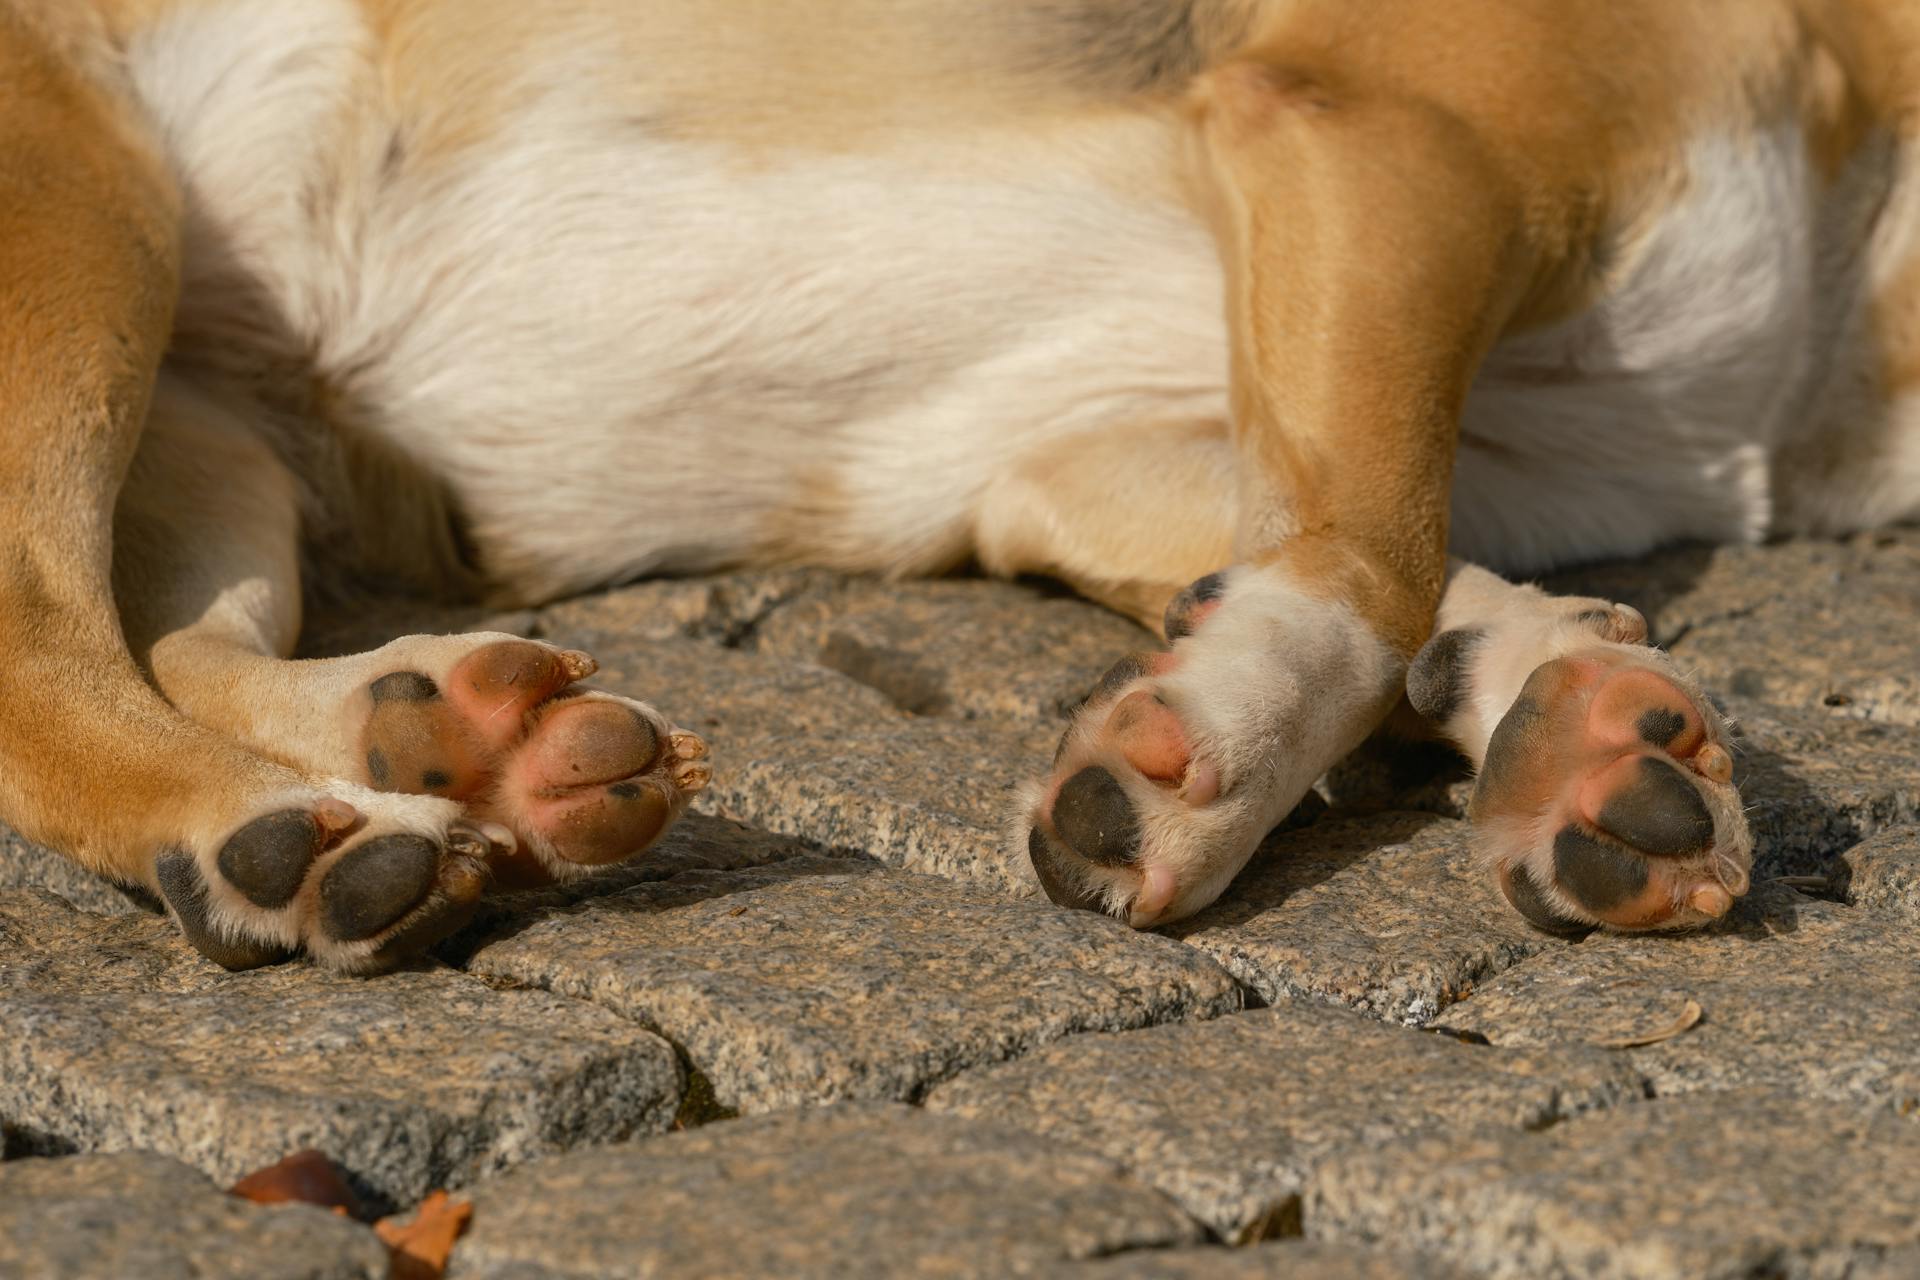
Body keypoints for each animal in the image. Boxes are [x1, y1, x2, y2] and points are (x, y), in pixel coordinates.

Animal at [3, 0, 1904, 971]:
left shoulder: (1096, 449)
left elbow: (1421, 576)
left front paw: (1581, 728)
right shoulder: (1388, 147)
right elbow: (1370, 556)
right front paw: (1210, 763)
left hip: (218, 443)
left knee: (182, 646)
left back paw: (464, 740)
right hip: (89, 239)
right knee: (47, 655)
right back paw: (266, 843)